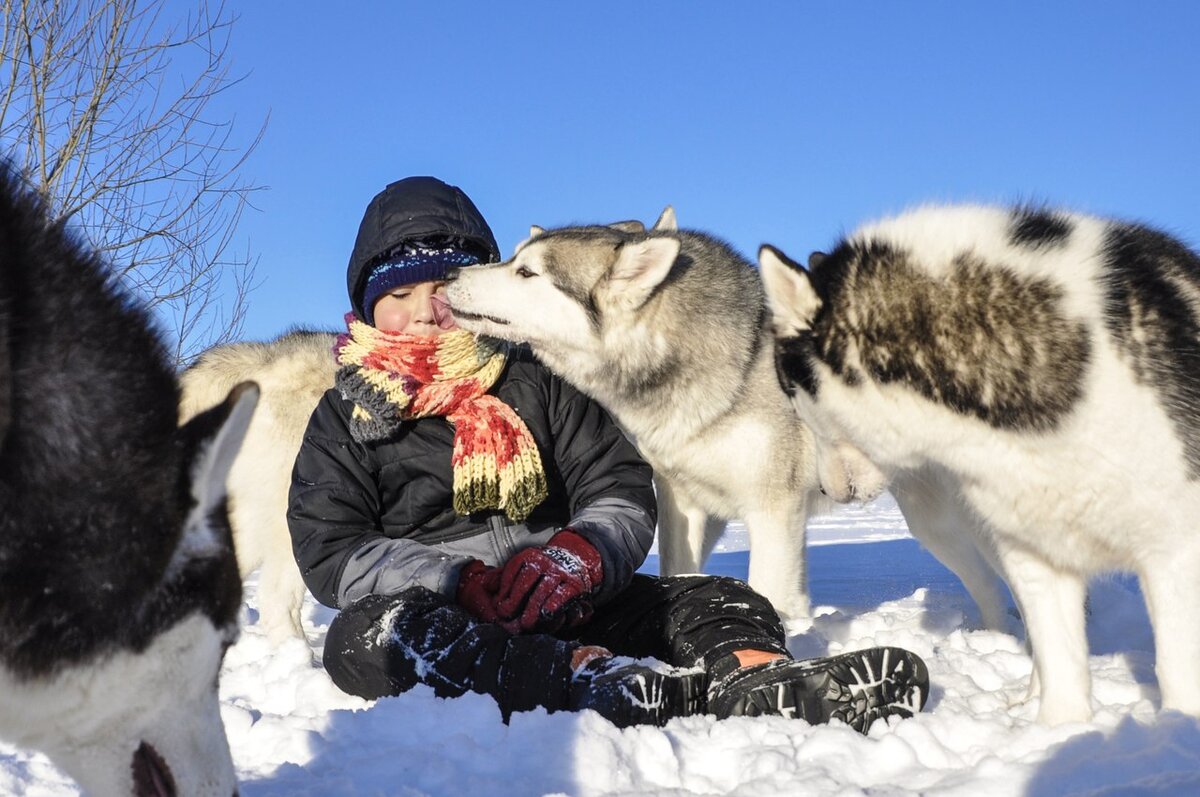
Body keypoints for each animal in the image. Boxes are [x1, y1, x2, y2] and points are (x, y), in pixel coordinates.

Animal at [758, 204, 1200, 720]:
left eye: (793, 398)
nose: (826, 492)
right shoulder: (1036, 555)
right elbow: (1062, 670)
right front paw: (1060, 733)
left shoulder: (1175, 553)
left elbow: (1177, 672)